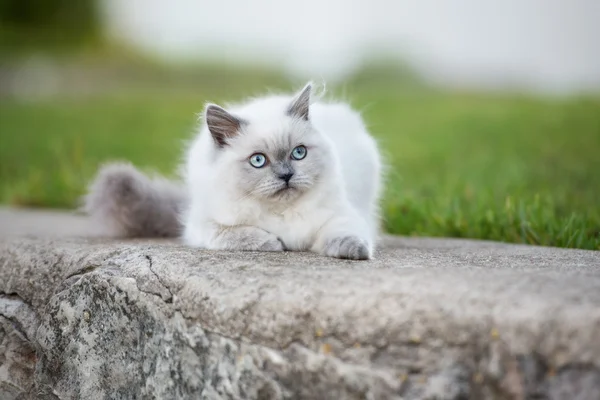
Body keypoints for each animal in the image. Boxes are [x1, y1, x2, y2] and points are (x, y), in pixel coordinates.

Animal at [85, 83, 380, 260]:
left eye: (299, 153)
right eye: (258, 160)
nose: (286, 175)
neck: (281, 213)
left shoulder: (341, 216)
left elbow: (346, 233)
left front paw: (355, 251)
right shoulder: (207, 226)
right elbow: (244, 234)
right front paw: (275, 242)